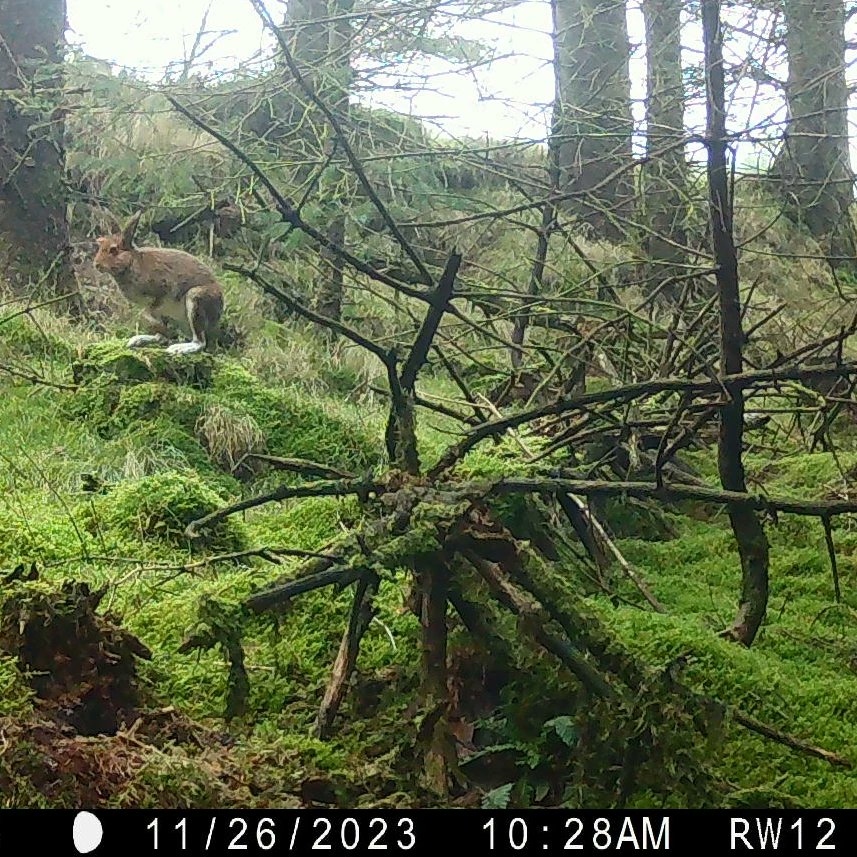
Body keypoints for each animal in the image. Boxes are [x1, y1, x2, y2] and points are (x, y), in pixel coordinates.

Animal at [94, 211, 224, 355]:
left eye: (113, 250)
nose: (96, 264)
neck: (131, 263)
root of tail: (219, 309)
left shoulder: (161, 292)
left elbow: (146, 313)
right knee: (163, 337)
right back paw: (139, 340)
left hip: (195, 300)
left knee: (200, 342)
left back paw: (178, 348)